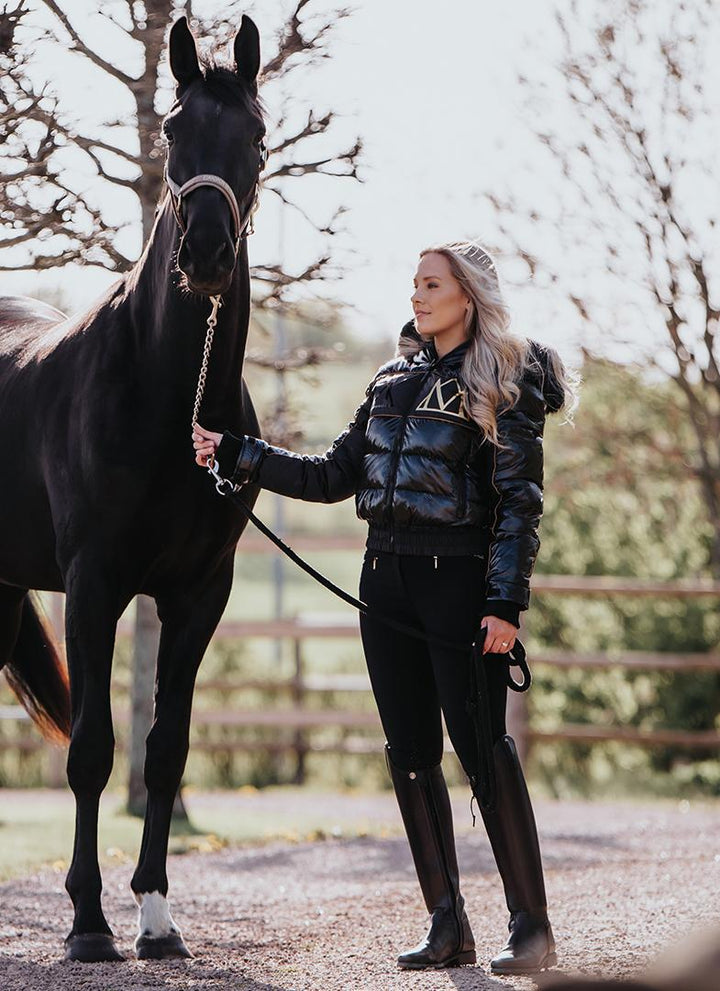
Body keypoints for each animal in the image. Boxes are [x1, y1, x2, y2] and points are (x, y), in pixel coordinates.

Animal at [0, 15, 265, 961]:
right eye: (172, 133)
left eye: (257, 136)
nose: (207, 252)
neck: (165, 392)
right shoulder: (93, 584)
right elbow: (90, 748)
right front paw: (86, 922)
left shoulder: (198, 594)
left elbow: (166, 747)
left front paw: (154, 918)